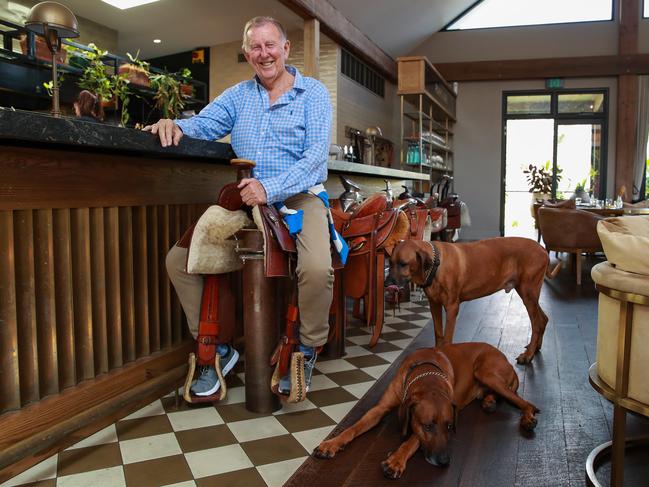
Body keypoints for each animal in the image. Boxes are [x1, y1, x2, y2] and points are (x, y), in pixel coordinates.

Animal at [314, 344, 536, 480]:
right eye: (428, 426)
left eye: (450, 426)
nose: (445, 462)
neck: (426, 376)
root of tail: (505, 358)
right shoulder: (379, 409)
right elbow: (353, 428)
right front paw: (331, 444)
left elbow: (412, 440)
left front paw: (396, 460)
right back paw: (490, 401)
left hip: (486, 372)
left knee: (526, 403)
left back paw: (527, 418)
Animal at [390, 238, 556, 364]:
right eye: (390, 263)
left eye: (403, 263)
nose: (388, 283)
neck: (436, 266)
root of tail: (542, 249)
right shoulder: (434, 305)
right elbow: (438, 333)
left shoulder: (452, 307)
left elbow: (447, 338)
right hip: (527, 293)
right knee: (543, 319)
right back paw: (535, 348)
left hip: (528, 293)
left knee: (537, 323)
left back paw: (528, 356)